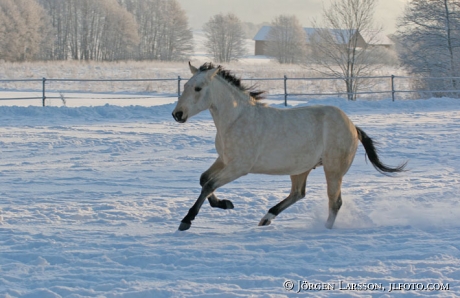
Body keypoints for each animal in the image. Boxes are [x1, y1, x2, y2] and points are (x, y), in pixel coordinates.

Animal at [172, 61, 406, 232]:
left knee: (335, 202)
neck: (235, 119)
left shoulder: (239, 167)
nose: (177, 114)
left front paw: (187, 220)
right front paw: (225, 203)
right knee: (298, 193)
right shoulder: (224, 160)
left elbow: (209, 185)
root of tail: (353, 127)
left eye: (198, 88)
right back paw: (266, 218)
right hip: (301, 168)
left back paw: (324, 230)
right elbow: (204, 179)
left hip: (333, 169)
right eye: (185, 86)